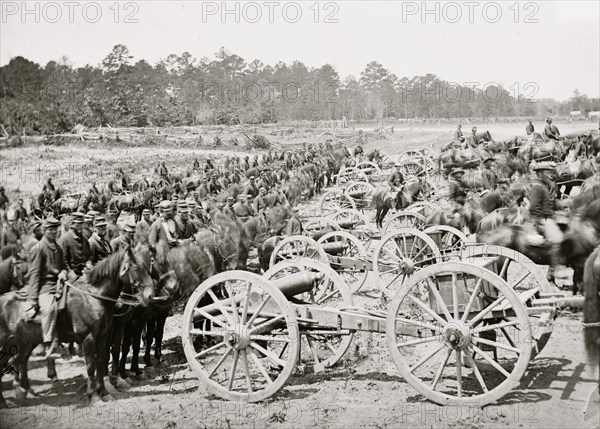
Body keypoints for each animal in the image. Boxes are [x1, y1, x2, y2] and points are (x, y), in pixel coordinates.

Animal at [0, 244, 155, 404]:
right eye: (136, 267)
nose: (150, 295)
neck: (93, 297)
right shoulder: (88, 339)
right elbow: (91, 366)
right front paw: (93, 395)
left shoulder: (103, 336)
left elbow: (101, 362)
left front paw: (104, 392)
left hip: (23, 343)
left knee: (18, 361)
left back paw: (22, 392)